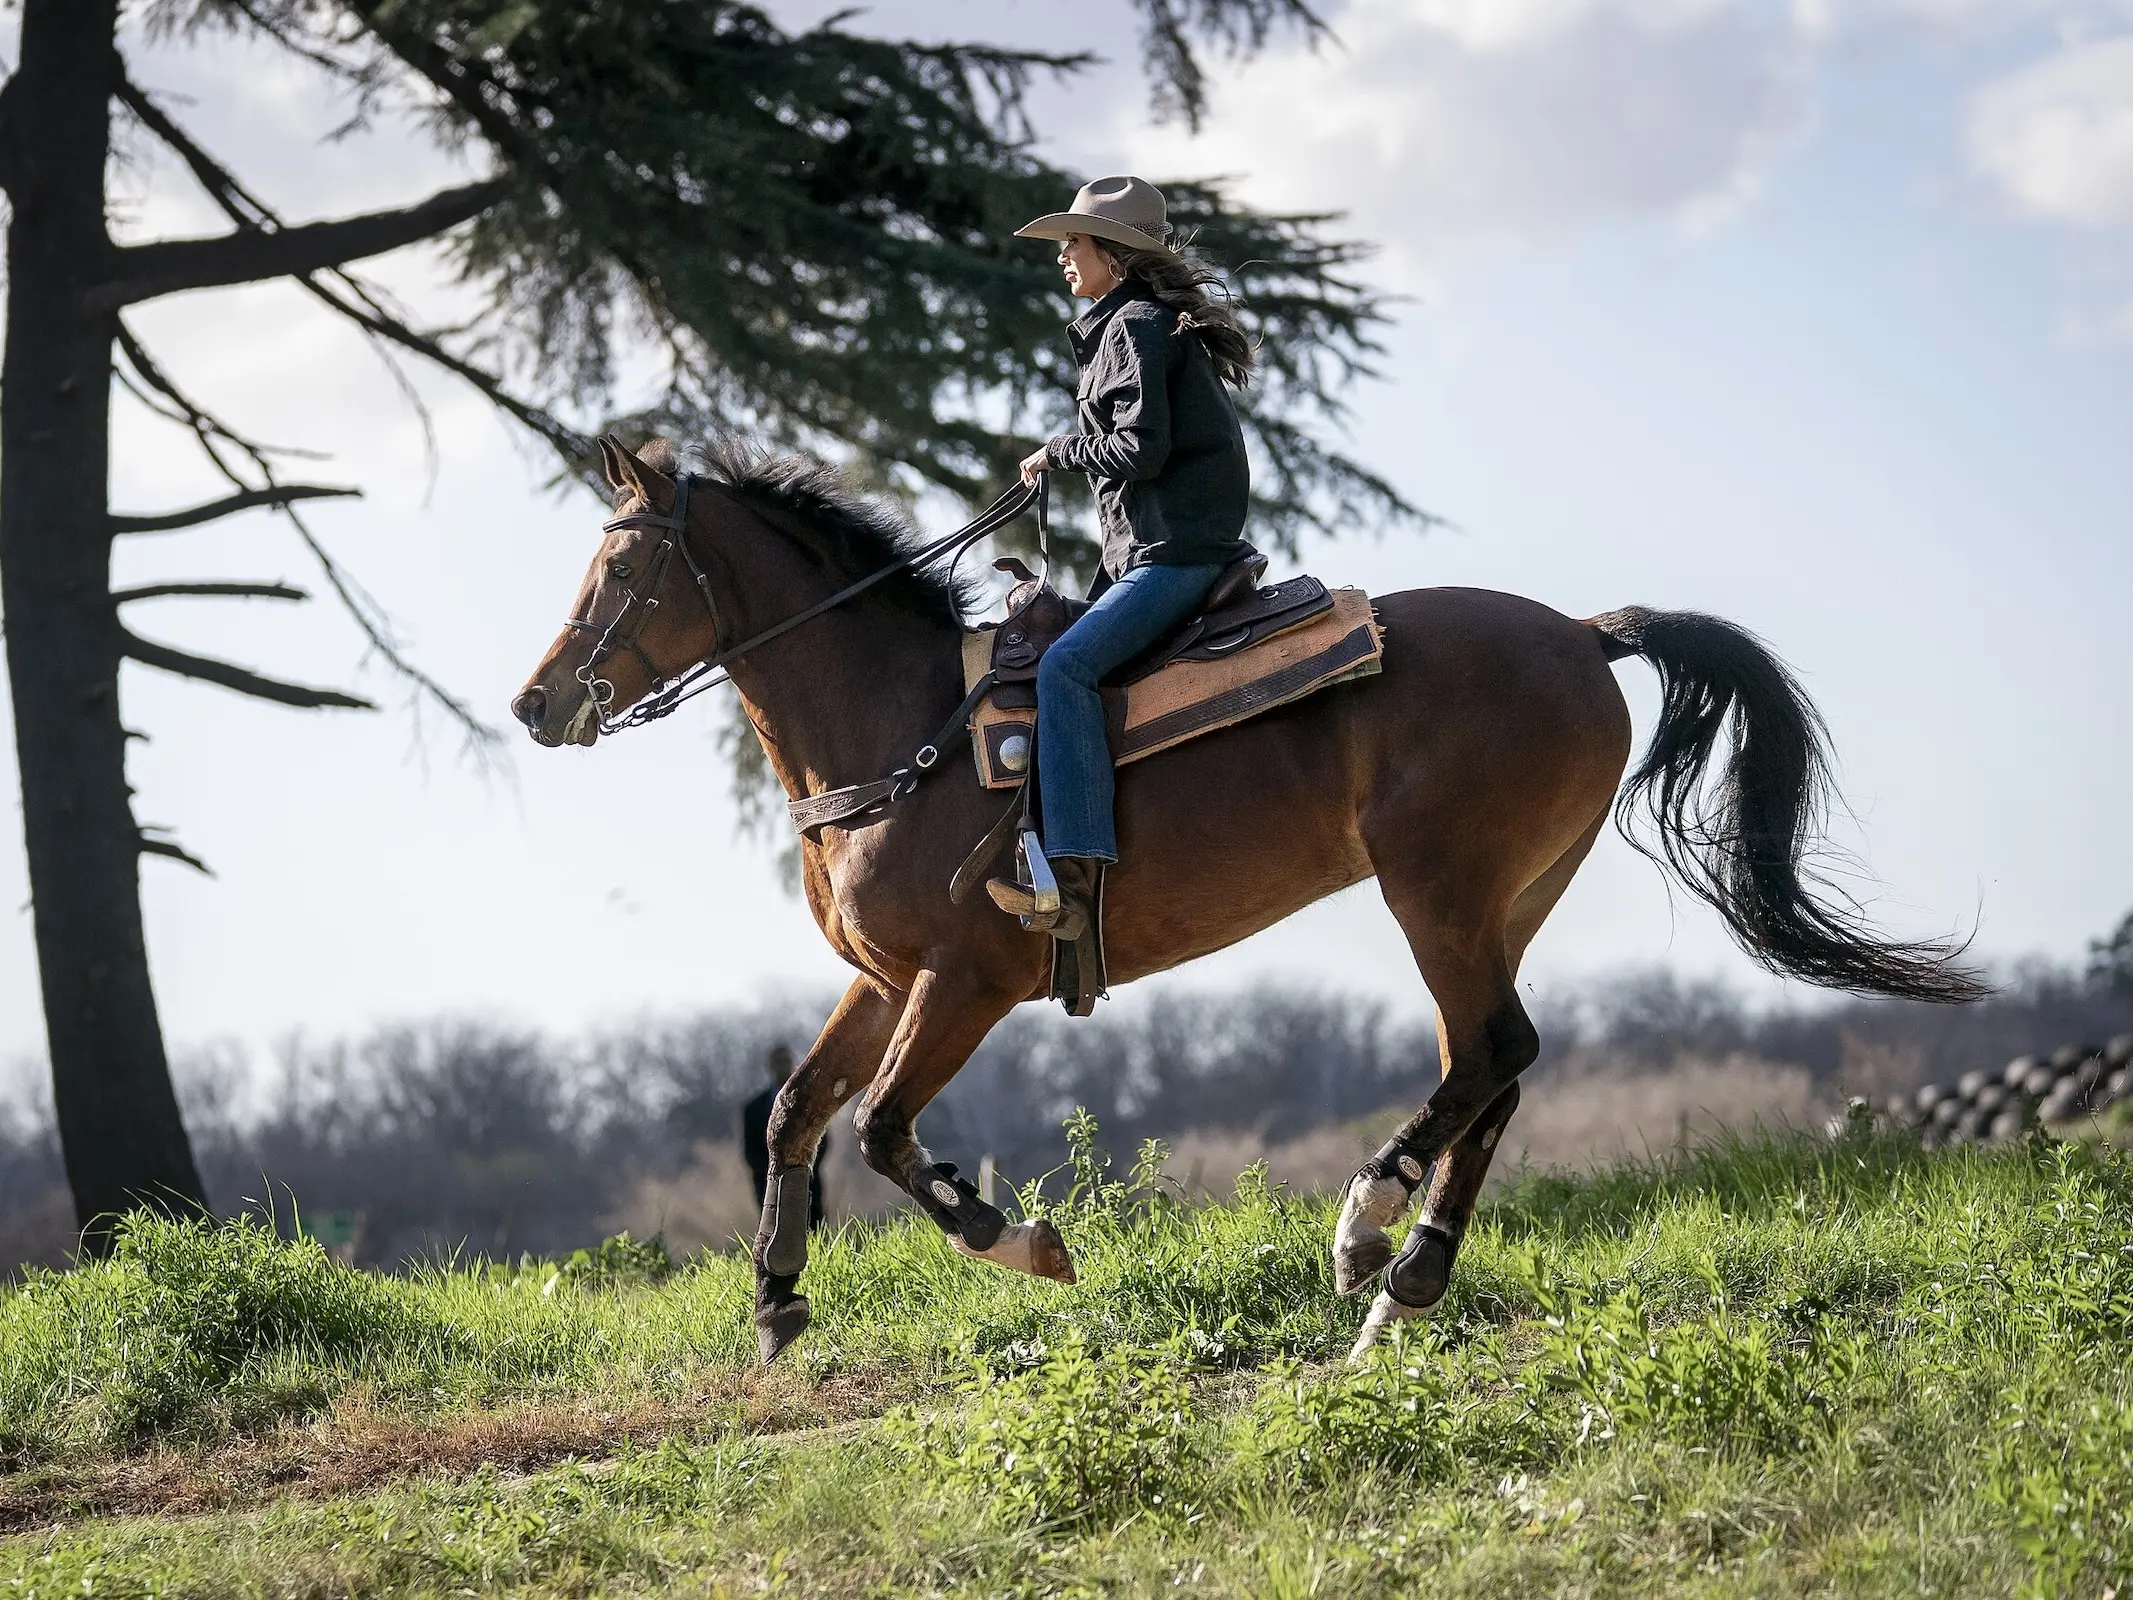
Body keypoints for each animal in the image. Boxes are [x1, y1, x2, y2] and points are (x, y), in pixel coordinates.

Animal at [511, 435, 1980, 1364]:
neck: (902, 728)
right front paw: (772, 1299)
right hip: (1501, 904)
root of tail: (1578, 632)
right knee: (1496, 1067)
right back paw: (1409, 1283)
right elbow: (801, 1110)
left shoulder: (969, 981)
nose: (534, 703)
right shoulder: (886, 977)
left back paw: (1364, 1228)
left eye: (623, 569)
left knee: (1490, 1053)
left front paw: (1022, 1242)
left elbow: (876, 1128)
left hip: (1435, 890)